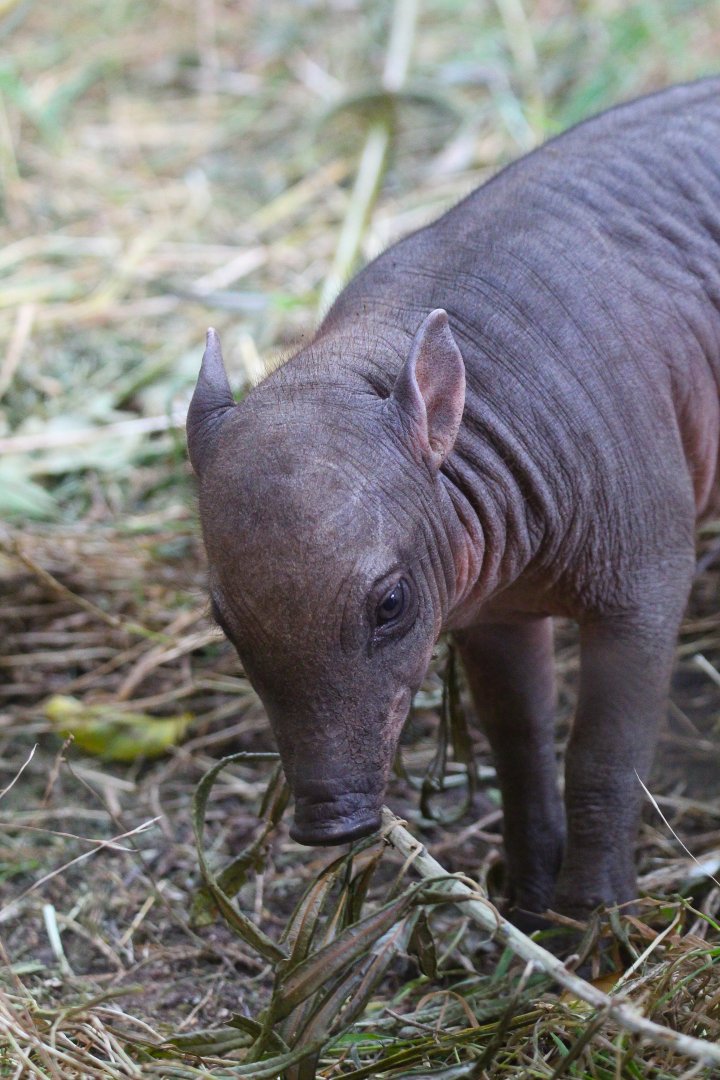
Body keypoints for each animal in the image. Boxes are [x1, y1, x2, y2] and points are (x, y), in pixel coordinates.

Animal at [187, 78, 720, 925]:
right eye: (225, 624)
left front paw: (589, 924)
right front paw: (524, 904)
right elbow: (520, 743)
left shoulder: (645, 579)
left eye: (391, 604)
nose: (331, 824)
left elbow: (604, 754)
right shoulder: (492, 613)